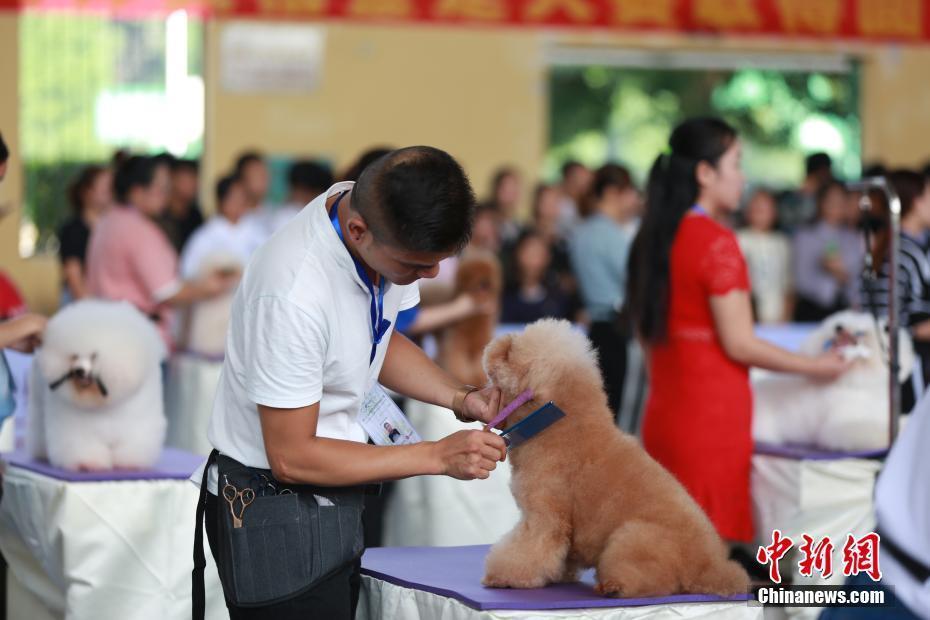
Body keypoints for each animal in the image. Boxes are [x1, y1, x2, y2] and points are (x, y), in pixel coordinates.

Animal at [28, 300, 167, 470]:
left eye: (93, 356)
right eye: (74, 356)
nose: (79, 370)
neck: (103, 405)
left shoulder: (138, 424)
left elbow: (133, 443)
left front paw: (129, 463)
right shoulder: (77, 430)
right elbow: (82, 444)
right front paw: (88, 463)